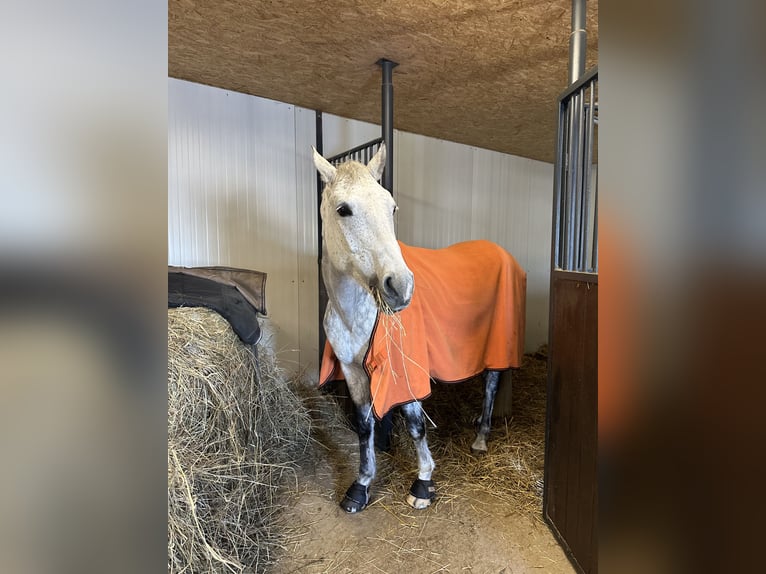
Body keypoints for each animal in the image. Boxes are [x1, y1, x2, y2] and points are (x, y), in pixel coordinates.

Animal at [313, 143, 525, 513]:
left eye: (392, 207)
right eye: (343, 209)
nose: (400, 286)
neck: (355, 312)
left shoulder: (405, 369)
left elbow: (415, 425)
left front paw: (423, 483)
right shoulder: (352, 370)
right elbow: (365, 425)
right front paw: (360, 487)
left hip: (499, 345)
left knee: (492, 383)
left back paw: (481, 437)